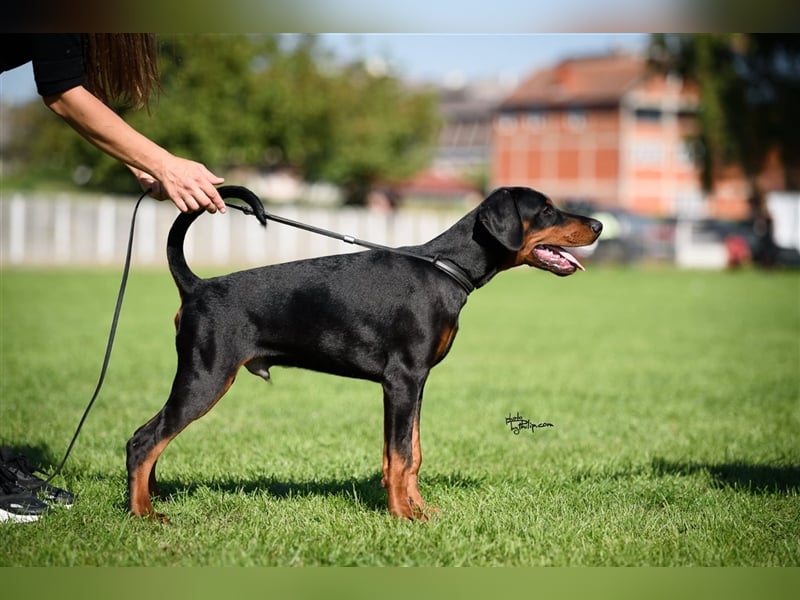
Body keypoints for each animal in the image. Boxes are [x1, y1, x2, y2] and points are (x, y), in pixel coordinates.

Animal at [125, 185, 600, 516]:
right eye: (546, 209)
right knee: (143, 440)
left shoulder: (417, 382)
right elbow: (400, 455)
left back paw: (152, 498)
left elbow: (412, 453)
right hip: (205, 376)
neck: (447, 269)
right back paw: (144, 514)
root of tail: (197, 286)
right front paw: (403, 517)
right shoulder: (402, 379)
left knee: (152, 441)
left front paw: (421, 510)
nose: (598, 225)